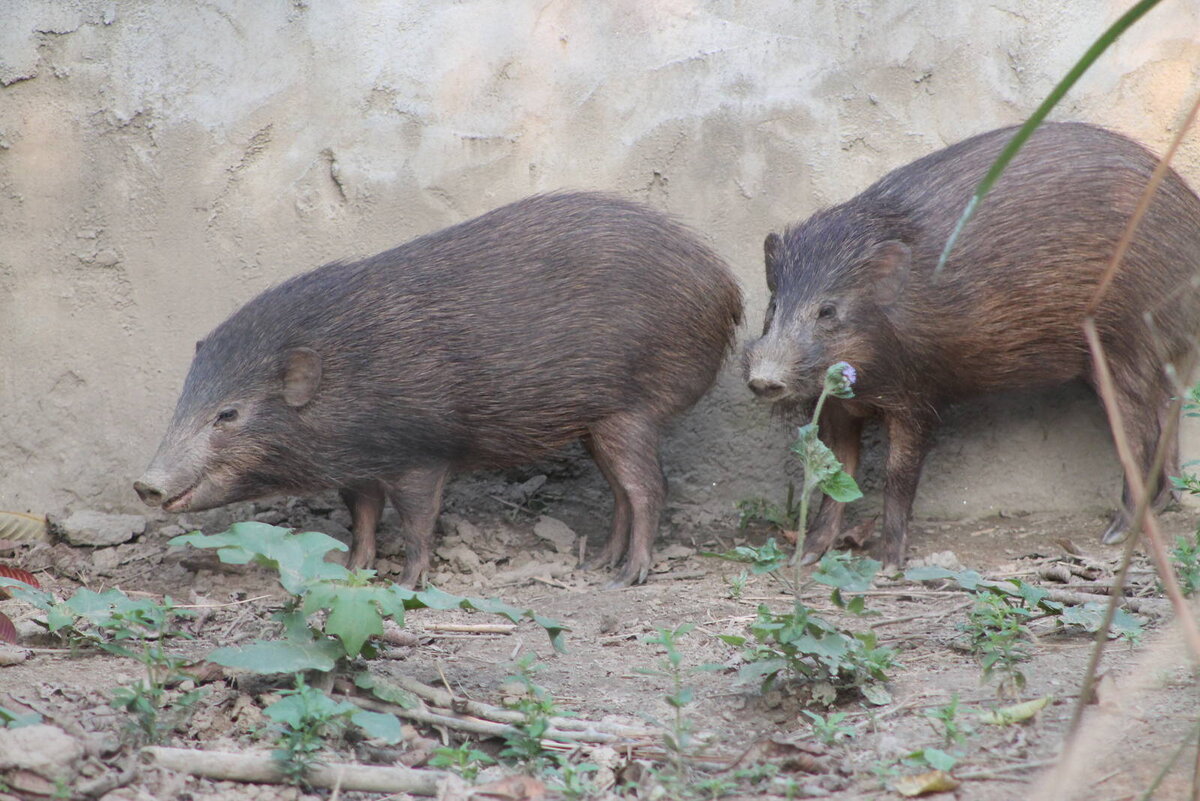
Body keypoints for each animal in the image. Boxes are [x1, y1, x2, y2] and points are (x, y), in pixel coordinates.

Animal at [138, 190, 739, 585]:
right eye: (184, 399)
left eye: (228, 414)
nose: (145, 484)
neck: (348, 375)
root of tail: (727, 286)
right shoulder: (359, 468)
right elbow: (362, 520)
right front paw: (353, 572)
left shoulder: (422, 455)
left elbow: (418, 523)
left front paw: (408, 584)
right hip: (595, 423)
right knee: (619, 490)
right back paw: (596, 563)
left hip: (633, 410)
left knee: (648, 487)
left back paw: (628, 578)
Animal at [744, 122, 1195, 565]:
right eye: (773, 304)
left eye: (827, 310)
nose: (763, 380)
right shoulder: (840, 406)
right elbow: (834, 474)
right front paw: (804, 557)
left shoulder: (918, 397)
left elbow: (897, 476)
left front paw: (890, 564)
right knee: (1167, 405)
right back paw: (1165, 501)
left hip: (1124, 344)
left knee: (1138, 433)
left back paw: (1117, 532)